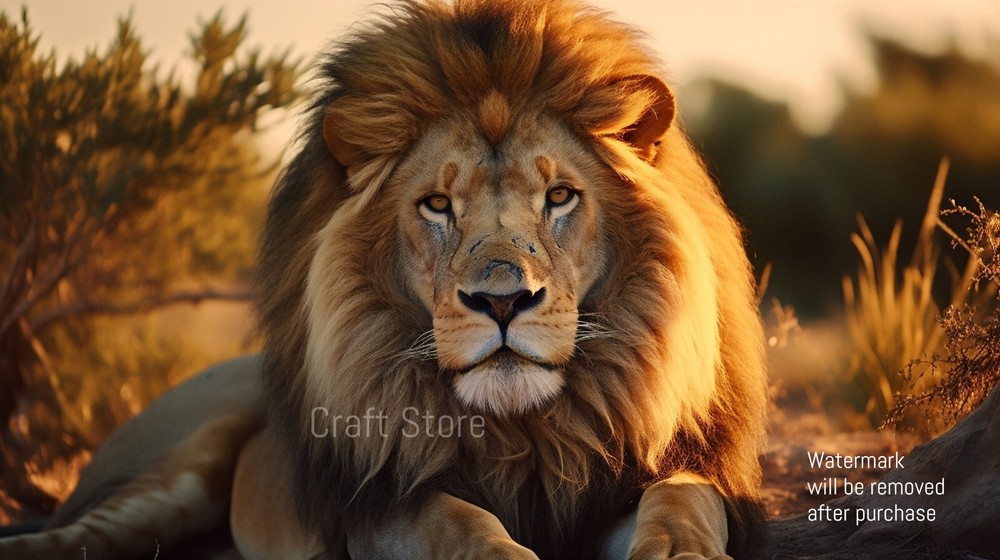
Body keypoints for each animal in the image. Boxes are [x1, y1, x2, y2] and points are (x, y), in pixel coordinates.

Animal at [0, 1, 767, 559]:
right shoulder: (379, 505)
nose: (503, 301)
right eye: (437, 204)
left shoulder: (645, 475)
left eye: (559, 197)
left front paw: (682, 551)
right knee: (74, 538)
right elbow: (458, 523)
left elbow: (681, 500)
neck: (524, 433)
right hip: (177, 469)